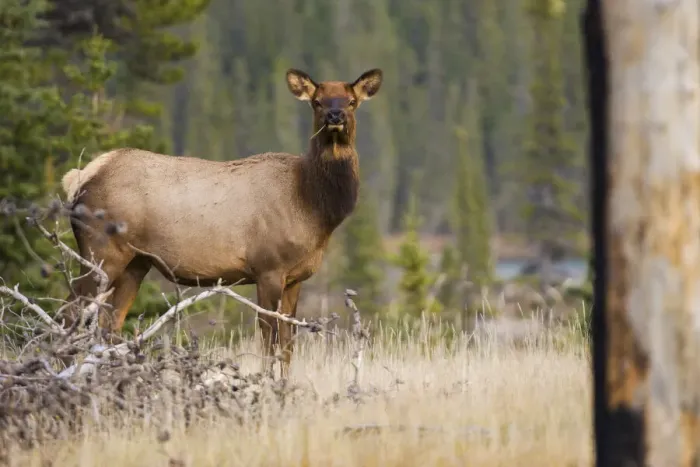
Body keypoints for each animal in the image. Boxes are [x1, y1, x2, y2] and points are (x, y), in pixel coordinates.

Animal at [58, 68, 383, 379]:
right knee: (70, 314)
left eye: (351, 101)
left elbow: (288, 342)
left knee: (109, 324)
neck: (312, 204)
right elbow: (268, 338)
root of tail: (78, 178)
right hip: (101, 251)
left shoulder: (295, 277)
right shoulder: (268, 267)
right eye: (317, 102)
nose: (334, 116)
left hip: (136, 263)